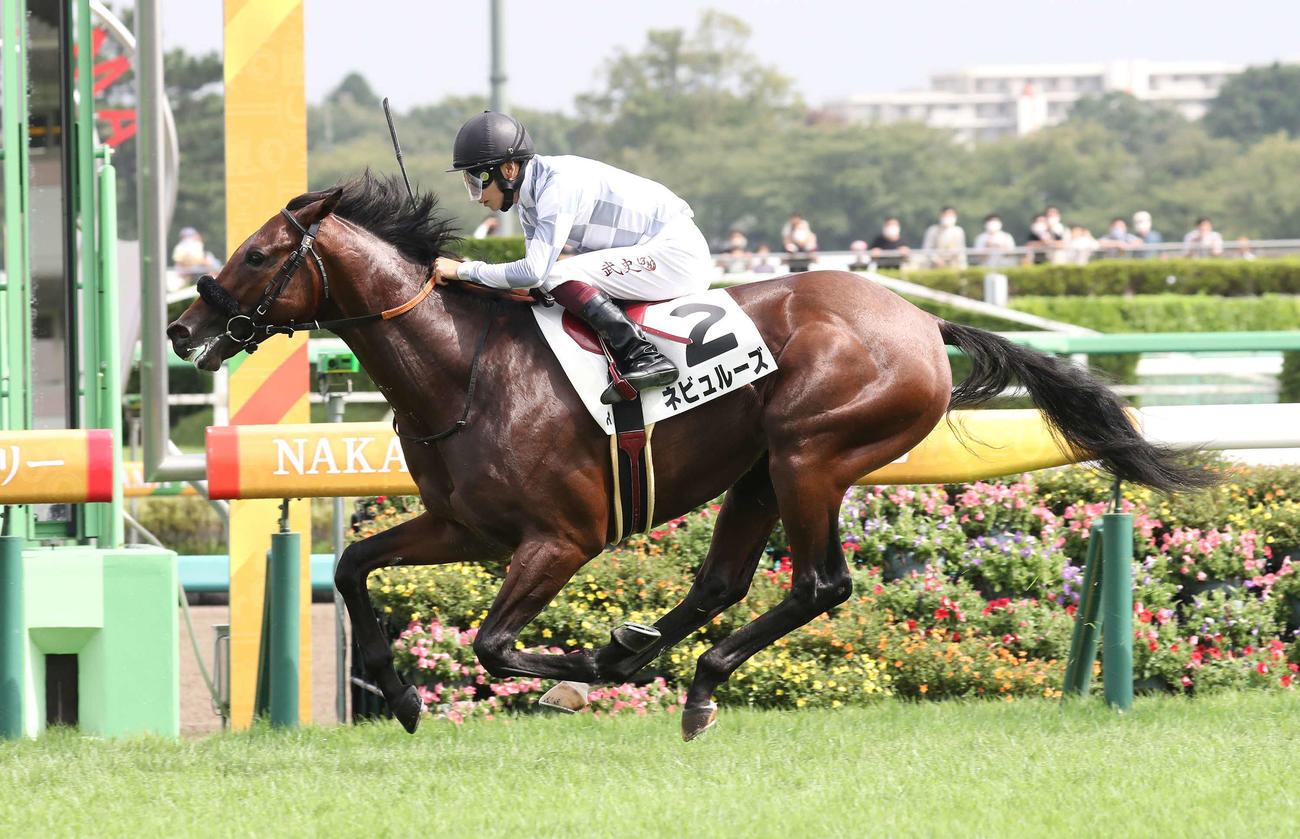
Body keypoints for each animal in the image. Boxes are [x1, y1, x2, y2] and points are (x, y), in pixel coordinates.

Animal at [167, 173, 1211, 740]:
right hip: (758, 469)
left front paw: (576, 667)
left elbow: (494, 642)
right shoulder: (466, 523)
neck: (462, 368)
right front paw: (400, 689)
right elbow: (351, 563)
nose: (183, 328)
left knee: (819, 584)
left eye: (257, 254)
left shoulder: (563, 537)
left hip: (810, 453)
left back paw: (663, 666)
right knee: (722, 582)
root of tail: (920, 319)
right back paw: (670, 664)